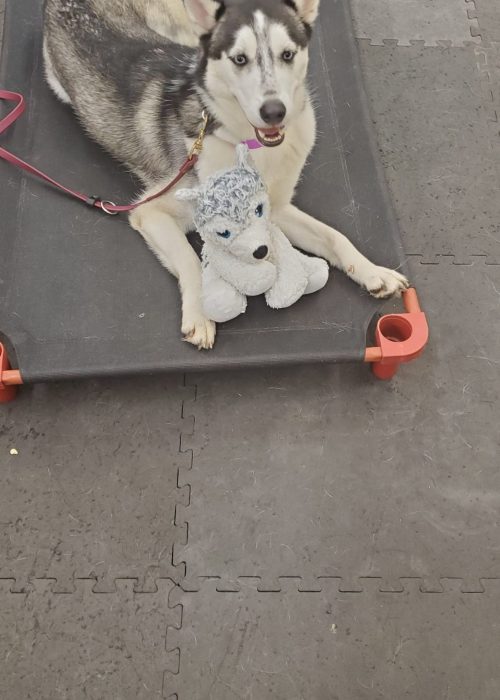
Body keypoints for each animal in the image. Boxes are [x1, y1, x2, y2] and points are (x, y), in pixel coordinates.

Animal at [44, 0, 410, 350]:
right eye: (240, 59)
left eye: (287, 54)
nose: (274, 112)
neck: (250, 146)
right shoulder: (150, 211)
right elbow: (190, 260)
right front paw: (199, 313)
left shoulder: (277, 209)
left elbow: (335, 236)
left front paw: (373, 272)